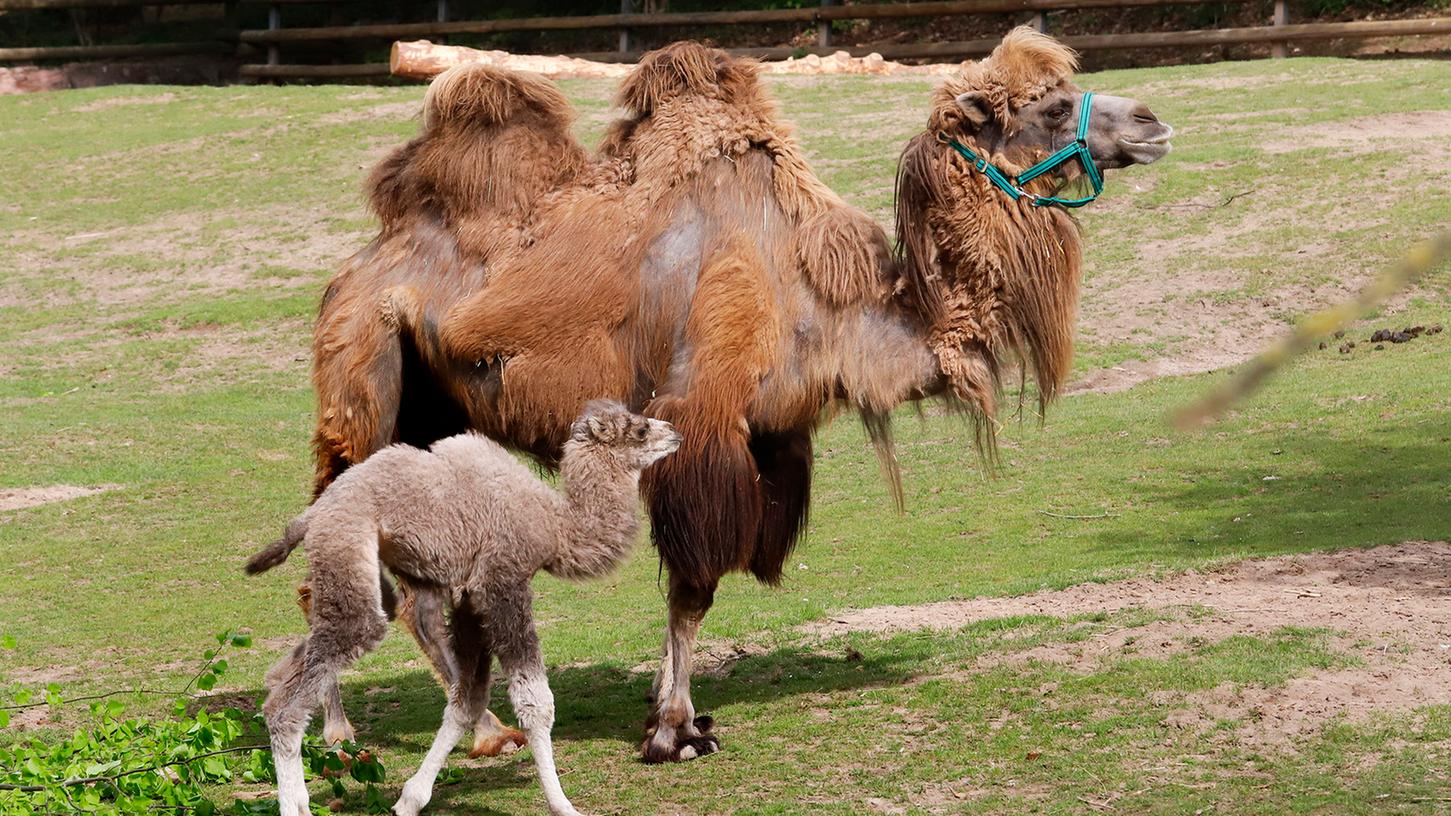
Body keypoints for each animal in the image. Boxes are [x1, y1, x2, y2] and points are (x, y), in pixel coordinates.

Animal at [246, 400, 681, 813]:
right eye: (640, 430)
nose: (674, 432)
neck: (555, 525)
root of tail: (309, 517)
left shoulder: (470, 601)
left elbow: (466, 701)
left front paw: (409, 799)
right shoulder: (503, 582)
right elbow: (536, 702)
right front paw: (563, 805)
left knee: (282, 677)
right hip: (348, 549)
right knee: (292, 700)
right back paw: (295, 802)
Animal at [300, 27, 1172, 760]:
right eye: (1052, 107)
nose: (1153, 122)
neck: (820, 298)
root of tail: (356, 270)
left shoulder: (775, 438)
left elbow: (701, 591)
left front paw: (670, 713)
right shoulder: (704, 415)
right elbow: (692, 587)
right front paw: (674, 732)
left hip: (429, 412)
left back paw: (479, 726)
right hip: (361, 389)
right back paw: (353, 736)